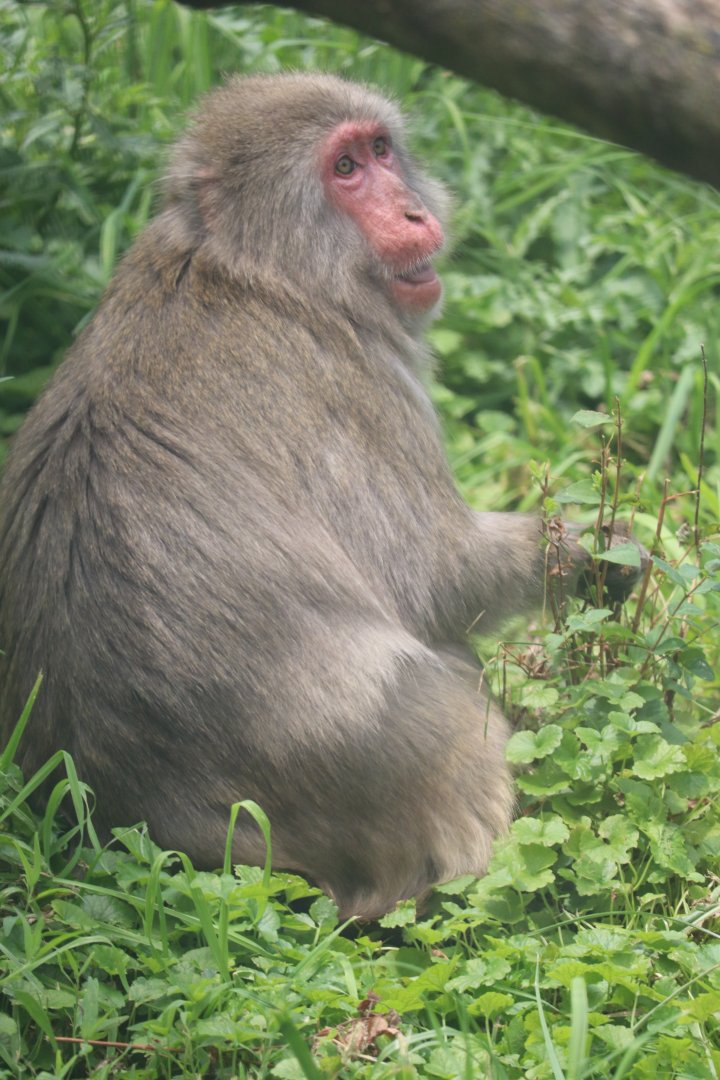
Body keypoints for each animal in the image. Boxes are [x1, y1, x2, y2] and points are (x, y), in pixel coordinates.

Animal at [0, 74, 640, 919]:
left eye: (380, 149)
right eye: (344, 170)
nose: (415, 213)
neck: (246, 262)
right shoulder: (359, 385)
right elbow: (436, 583)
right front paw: (593, 551)